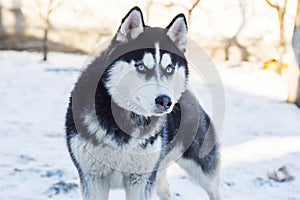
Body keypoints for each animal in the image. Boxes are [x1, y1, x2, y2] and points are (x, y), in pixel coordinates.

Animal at [66, 6, 220, 200]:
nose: (165, 101)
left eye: (169, 68)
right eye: (141, 66)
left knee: (215, 189)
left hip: (200, 166)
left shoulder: (141, 181)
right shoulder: (93, 179)